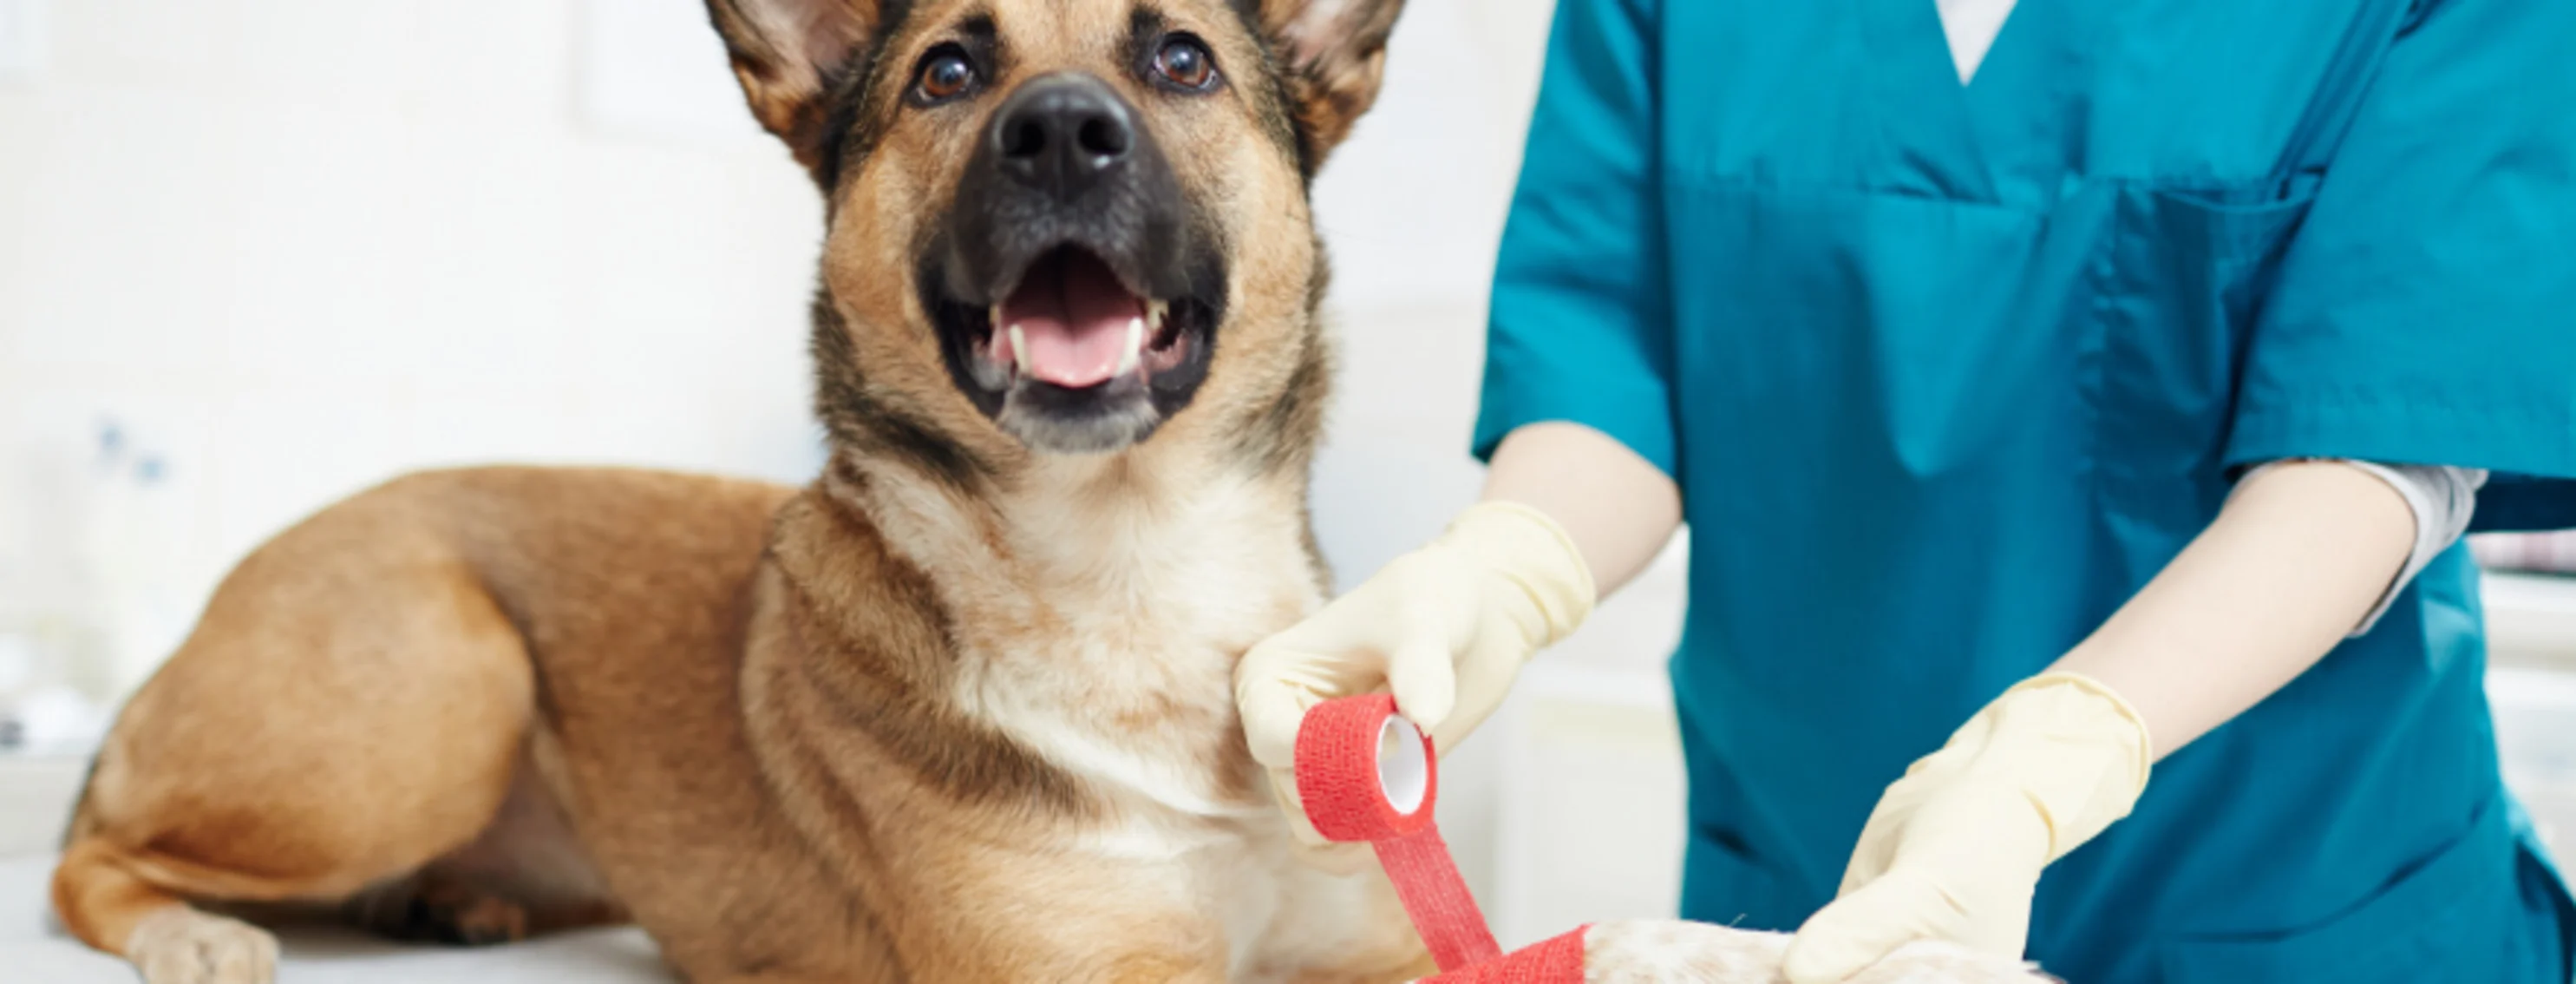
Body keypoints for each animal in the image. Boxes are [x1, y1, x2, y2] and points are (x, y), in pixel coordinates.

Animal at [49, 2, 2070, 984]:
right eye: (950, 68)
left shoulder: (1367, 944)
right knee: (88, 851)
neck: (1134, 569)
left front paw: (1807, 940)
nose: (1062, 131)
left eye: (1178, 58)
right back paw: (196, 930)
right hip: (436, 682)